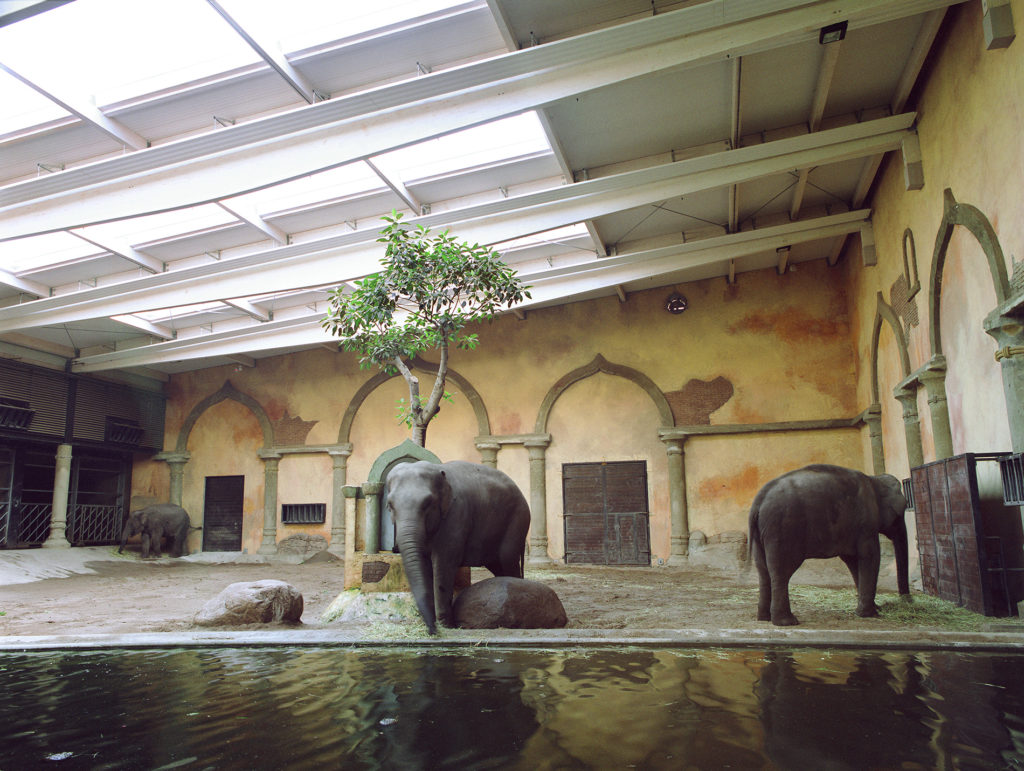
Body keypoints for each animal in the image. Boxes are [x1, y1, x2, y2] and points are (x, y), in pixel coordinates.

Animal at [382, 460, 528, 634]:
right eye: (390, 505)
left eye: (427, 503)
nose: (433, 631)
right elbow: (424, 564)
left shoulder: (456, 515)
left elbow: (443, 564)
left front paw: (446, 625)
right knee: (498, 566)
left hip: (518, 519)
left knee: (508, 560)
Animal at [749, 462, 909, 626]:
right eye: (902, 510)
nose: (906, 600)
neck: (874, 480)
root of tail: (759, 501)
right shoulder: (866, 524)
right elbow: (870, 557)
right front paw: (871, 614)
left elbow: (853, 561)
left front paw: (873, 608)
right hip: (782, 530)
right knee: (781, 572)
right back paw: (787, 622)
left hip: (762, 534)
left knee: (764, 571)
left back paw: (764, 618)